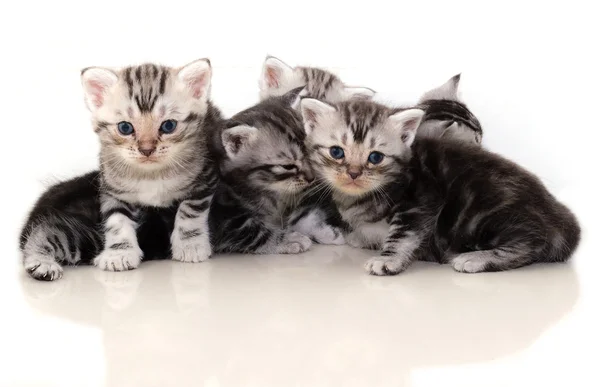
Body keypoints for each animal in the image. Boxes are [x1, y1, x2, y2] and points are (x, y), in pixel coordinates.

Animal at [21, 59, 224, 280]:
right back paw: (41, 262)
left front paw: (190, 244)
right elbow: (117, 220)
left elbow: (190, 212)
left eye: (168, 125)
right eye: (125, 128)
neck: (151, 175)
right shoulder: (112, 187)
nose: (146, 149)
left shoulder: (205, 177)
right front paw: (119, 253)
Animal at [211, 90, 344, 255]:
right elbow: (254, 232)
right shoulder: (222, 220)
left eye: (309, 153)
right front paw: (290, 240)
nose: (312, 178)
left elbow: (298, 217)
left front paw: (326, 232)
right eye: (288, 166)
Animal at [300, 100, 580, 276]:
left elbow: (403, 235)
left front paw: (388, 259)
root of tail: (559, 216)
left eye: (375, 157)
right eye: (337, 152)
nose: (354, 173)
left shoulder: (421, 199)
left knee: (533, 242)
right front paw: (361, 236)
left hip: (483, 212)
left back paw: (475, 259)